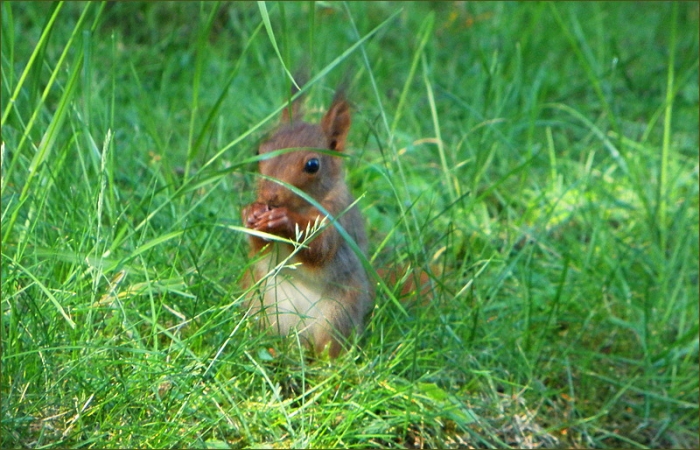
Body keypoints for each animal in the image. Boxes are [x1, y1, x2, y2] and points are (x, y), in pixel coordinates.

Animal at [241, 81, 374, 358]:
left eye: (313, 165)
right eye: (259, 151)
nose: (270, 196)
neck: (303, 206)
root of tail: (297, 339)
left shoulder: (338, 219)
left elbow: (320, 249)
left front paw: (285, 220)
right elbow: (260, 248)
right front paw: (251, 213)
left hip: (337, 313)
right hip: (260, 301)